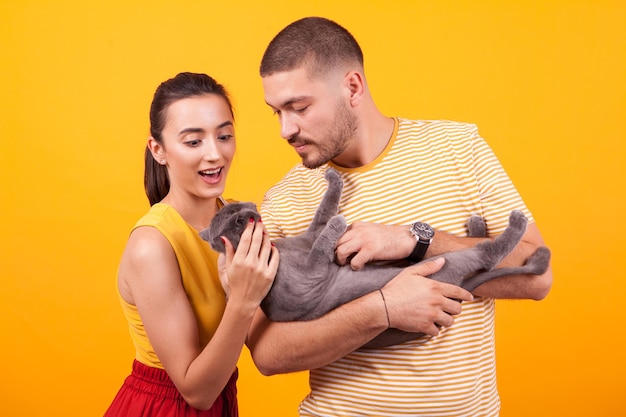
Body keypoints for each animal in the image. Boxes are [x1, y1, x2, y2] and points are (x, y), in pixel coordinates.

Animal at [202, 167, 548, 346]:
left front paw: (333, 178)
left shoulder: (312, 235)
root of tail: (463, 288)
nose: (253, 213)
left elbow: (326, 208)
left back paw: (476, 224)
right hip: (450, 263)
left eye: (247, 206)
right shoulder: (309, 279)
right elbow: (324, 241)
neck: (276, 249)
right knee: (485, 255)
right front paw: (341, 224)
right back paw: (516, 223)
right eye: (236, 221)